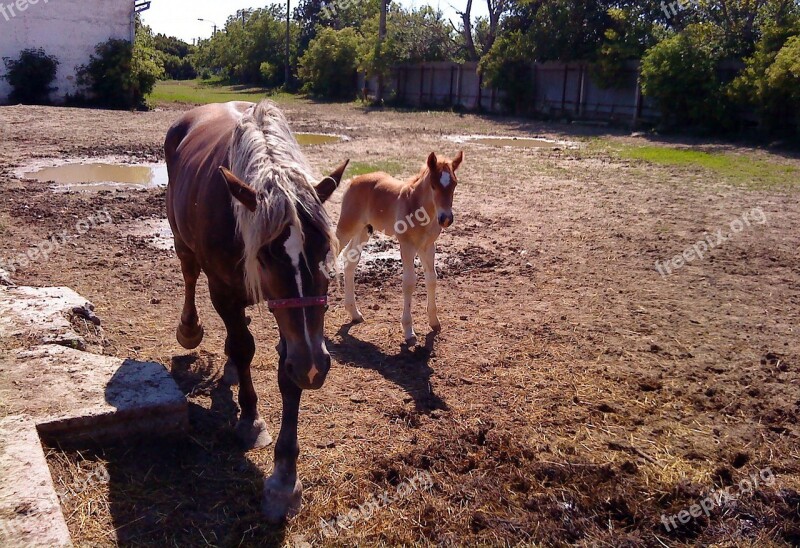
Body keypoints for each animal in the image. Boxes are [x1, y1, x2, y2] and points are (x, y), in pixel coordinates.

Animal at [166, 99, 346, 524]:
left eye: (324, 249)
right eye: (265, 255)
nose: (316, 367)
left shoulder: (297, 331)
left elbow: (287, 373)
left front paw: (284, 479)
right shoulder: (223, 290)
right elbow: (244, 346)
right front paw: (250, 418)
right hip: (181, 241)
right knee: (189, 275)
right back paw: (190, 329)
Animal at [336, 150, 462, 342]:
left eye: (454, 184)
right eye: (433, 185)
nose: (446, 218)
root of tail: (354, 179)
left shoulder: (428, 246)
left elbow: (432, 279)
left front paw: (434, 322)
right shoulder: (407, 245)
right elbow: (409, 283)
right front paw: (409, 330)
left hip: (364, 230)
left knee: (350, 261)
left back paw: (355, 313)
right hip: (347, 226)